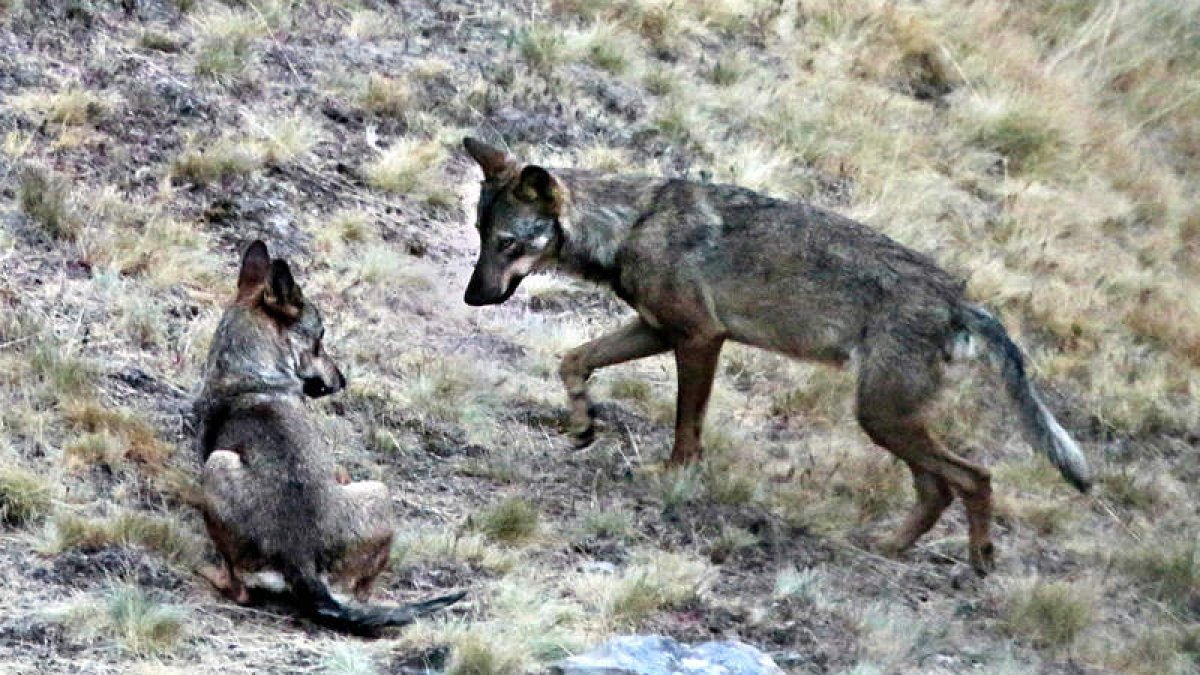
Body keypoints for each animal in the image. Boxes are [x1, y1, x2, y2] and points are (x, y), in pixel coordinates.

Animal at [459, 137, 1091, 573]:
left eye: (508, 243)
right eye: (481, 236)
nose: (473, 297)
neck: (632, 225)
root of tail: (960, 300)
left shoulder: (699, 338)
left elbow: (686, 428)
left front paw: (672, 480)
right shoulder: (656, 330)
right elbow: (573, 361)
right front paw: (583, 423)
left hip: (882, 417)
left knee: (975, 477)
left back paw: (980, 558)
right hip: (890, 421)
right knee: (939, 487)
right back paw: (886, 546)